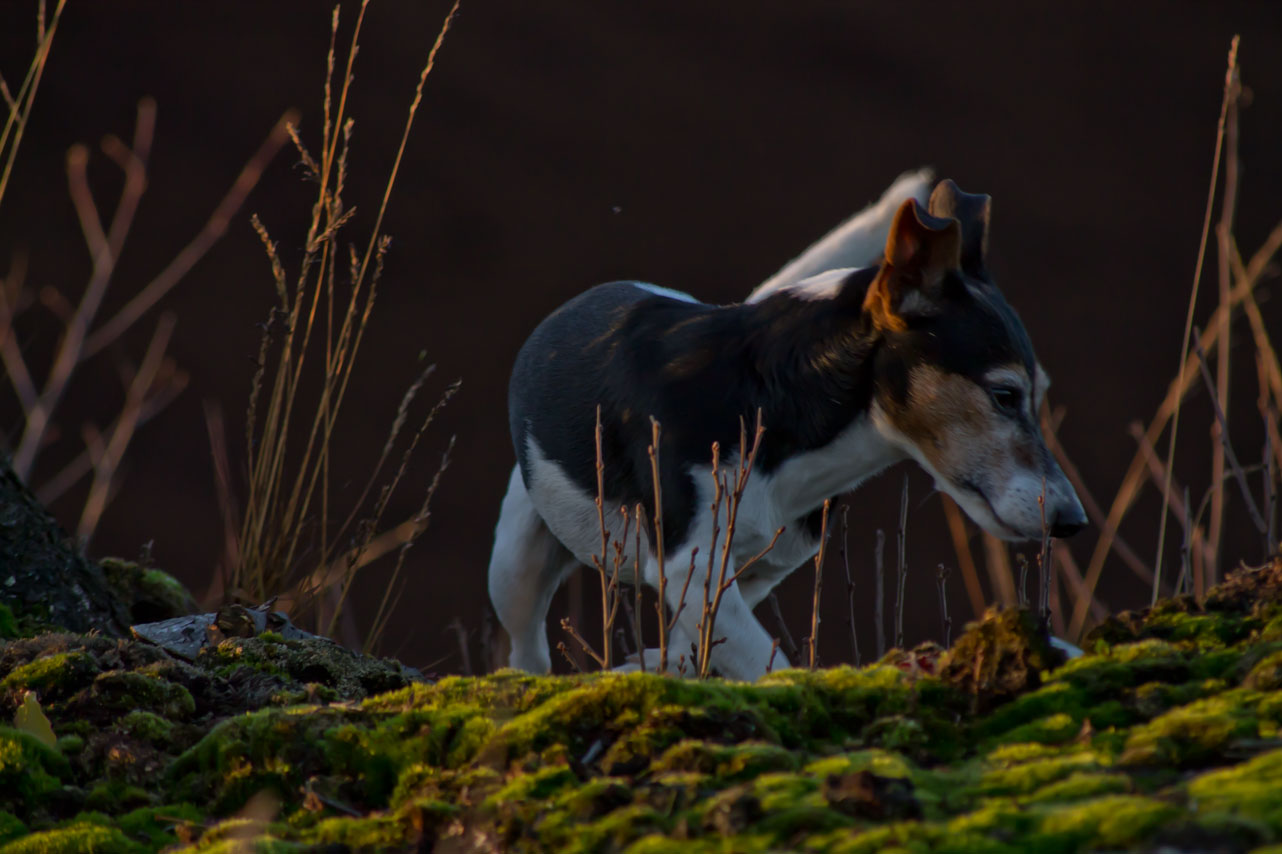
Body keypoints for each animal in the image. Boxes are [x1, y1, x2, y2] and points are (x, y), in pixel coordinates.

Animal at [484, 174, 1087, 677]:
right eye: (1004, 395)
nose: (1072, 521)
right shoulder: (690, 567)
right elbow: (766, 663)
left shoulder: (750, 574)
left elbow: (698, 644)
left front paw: (654, 662)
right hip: (515, 563)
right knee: (525, 650)